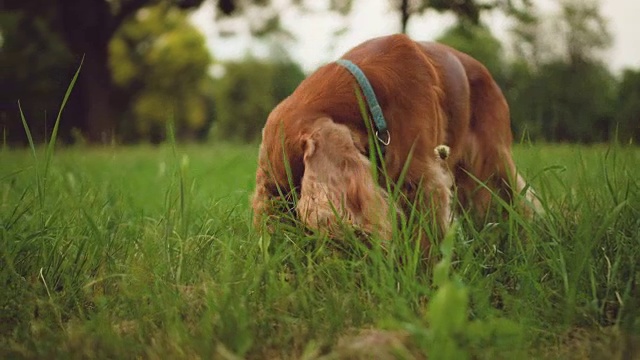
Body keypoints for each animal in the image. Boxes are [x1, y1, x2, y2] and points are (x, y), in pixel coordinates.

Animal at [251, 33, 540, 253]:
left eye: (297, 192)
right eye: (278, 201)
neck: (367, 95)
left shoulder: (423, 179)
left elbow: (427, 240)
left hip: (495, 158)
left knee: (521, 200)